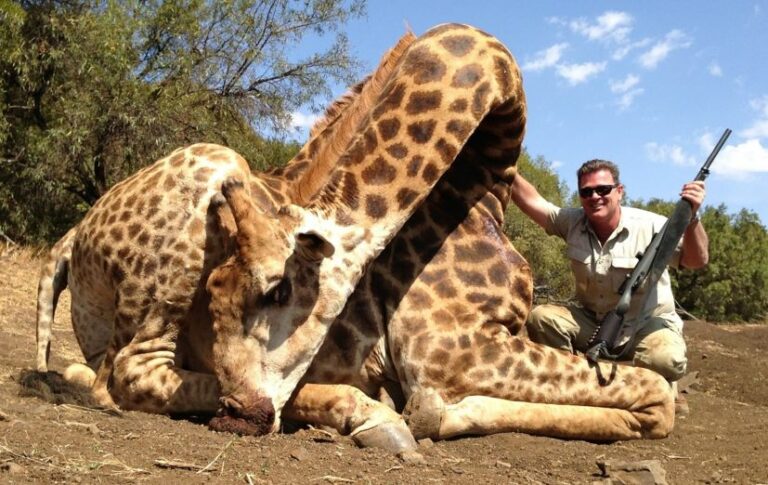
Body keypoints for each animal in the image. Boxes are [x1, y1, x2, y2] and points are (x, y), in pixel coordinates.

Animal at [205, 23, 675, 450]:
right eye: (213, 293)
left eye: (278, 290)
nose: (235, 415)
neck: (481, 196)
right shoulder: (449, 353)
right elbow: (658, 394)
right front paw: (423, 413)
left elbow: (655, 395)